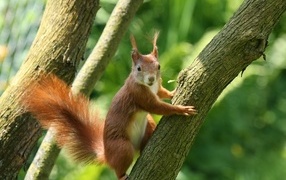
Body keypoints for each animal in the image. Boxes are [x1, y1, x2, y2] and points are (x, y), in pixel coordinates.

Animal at [21, 32, 197, 180]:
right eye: (139, 68)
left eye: (158, 66)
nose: (151, 79)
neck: (148, 86)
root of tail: (106, 154)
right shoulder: (139, 95)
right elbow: (157, 107)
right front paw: (181, 109)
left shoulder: (157, 88)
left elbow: (161, 93)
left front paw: (173, 93)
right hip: (122, 148)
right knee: (119, 167)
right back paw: (123, 176)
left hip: (147, 124)